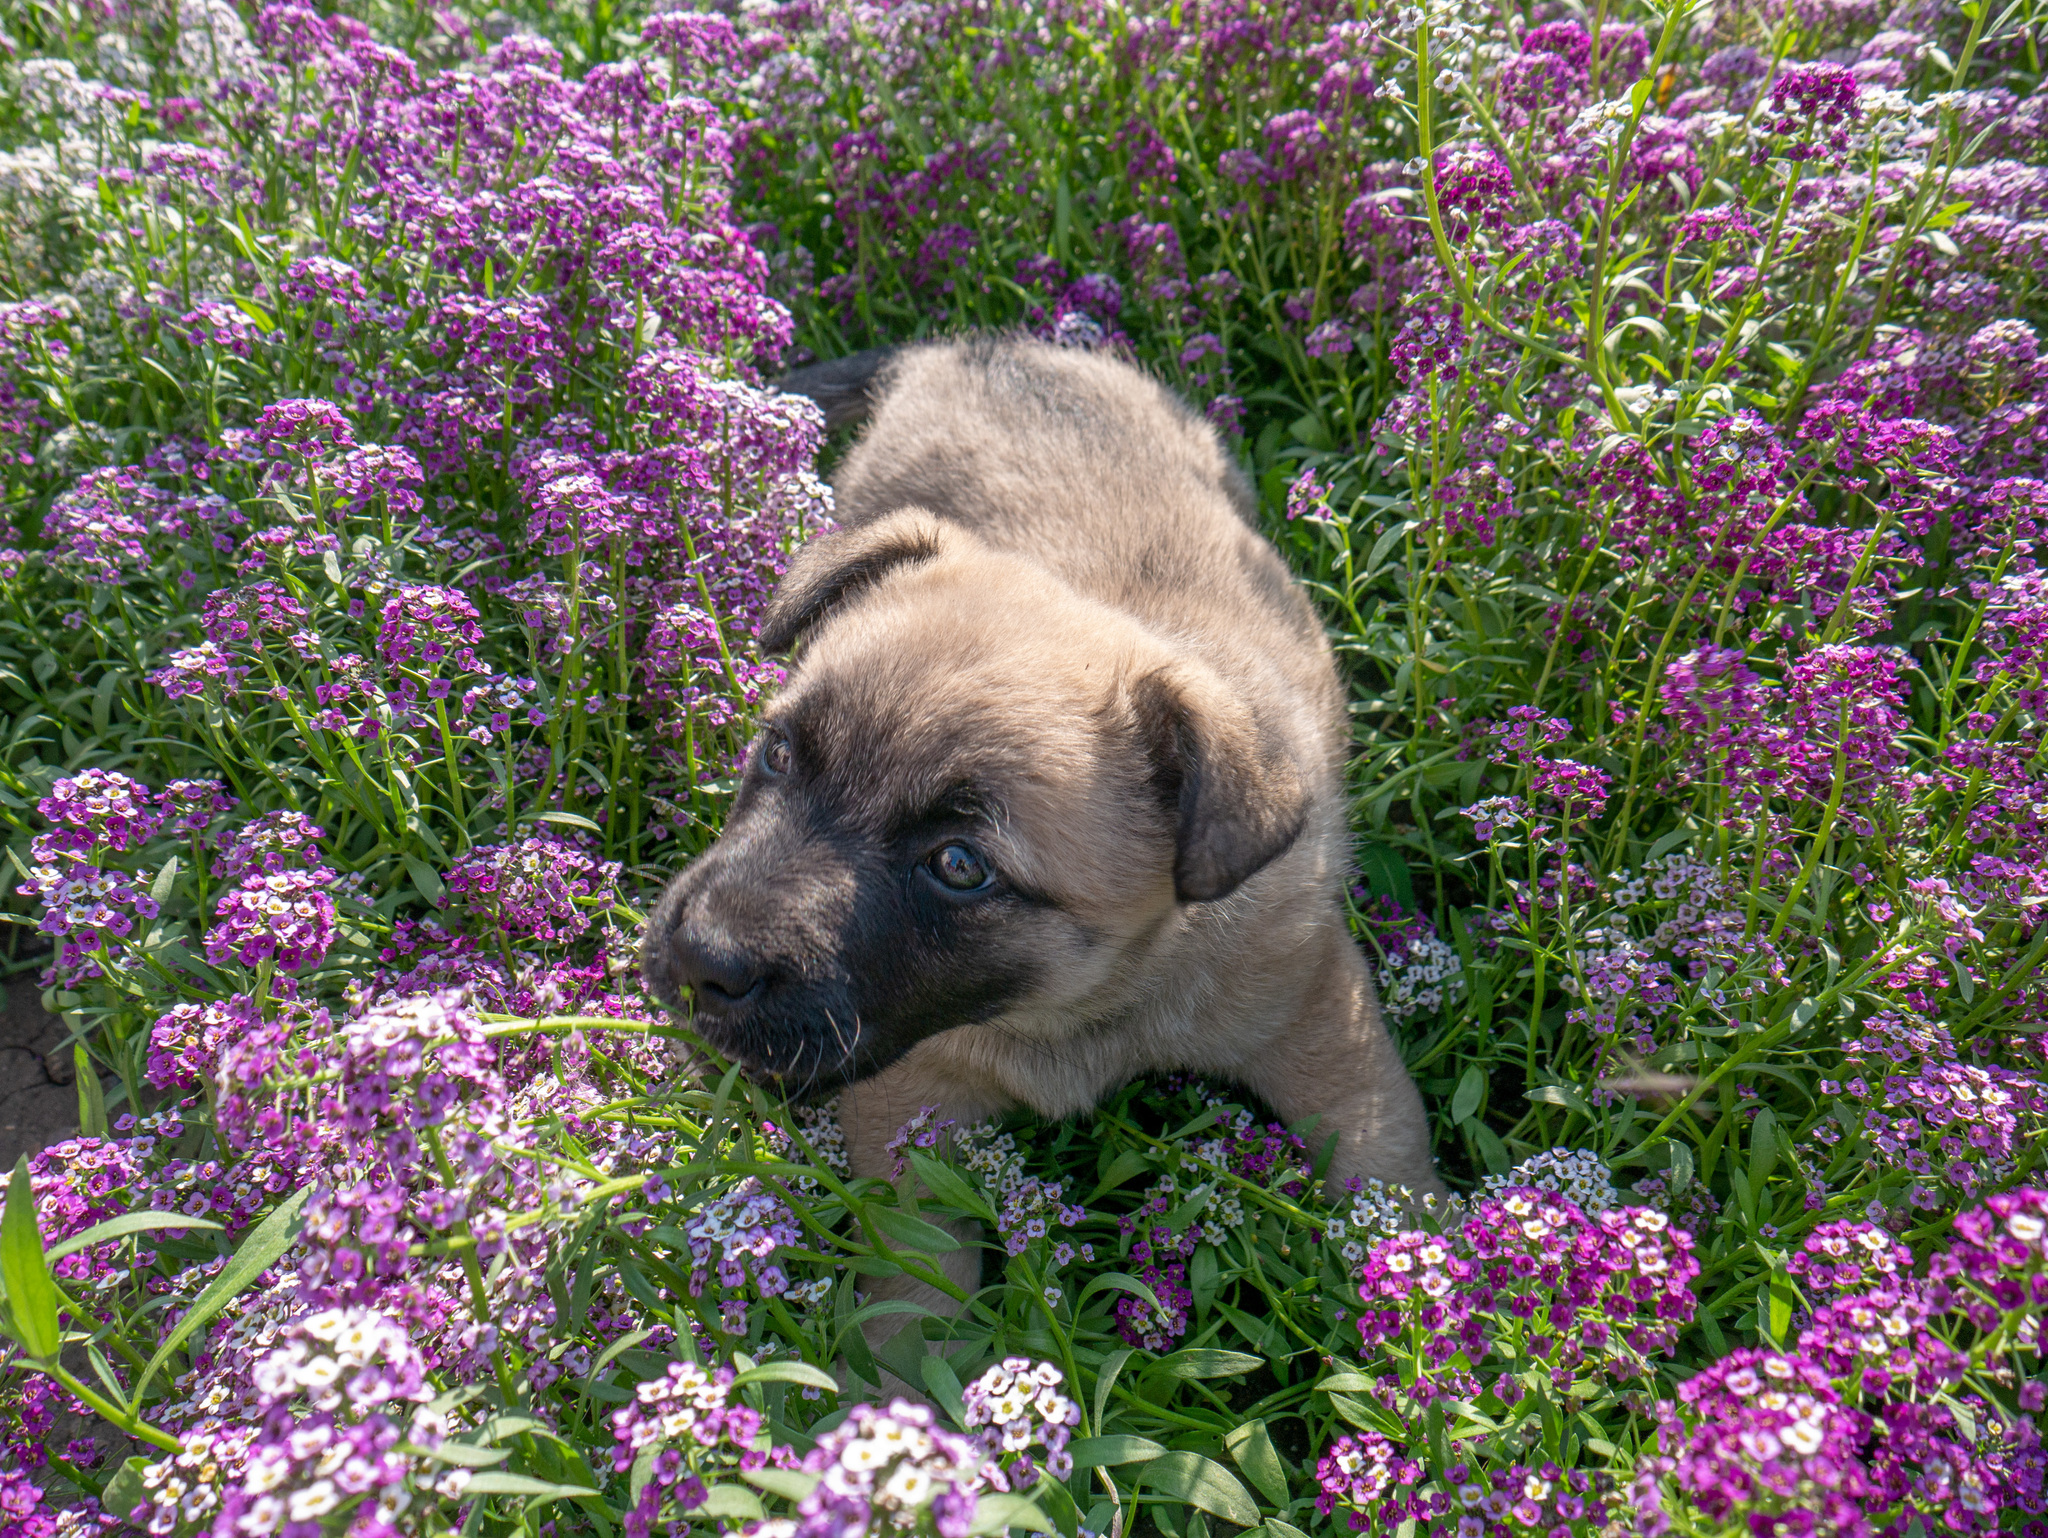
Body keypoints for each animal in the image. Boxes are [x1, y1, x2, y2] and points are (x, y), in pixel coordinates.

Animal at [638, 339, 1441, 1310]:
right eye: (780, 753)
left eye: (959, 865)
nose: (697, 959)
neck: (1074, 1007)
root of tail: (973, 347)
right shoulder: (910, 1105)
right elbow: (916, 1298)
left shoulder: (1318, 1018)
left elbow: (1385, 1158)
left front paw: (1435, 1291)